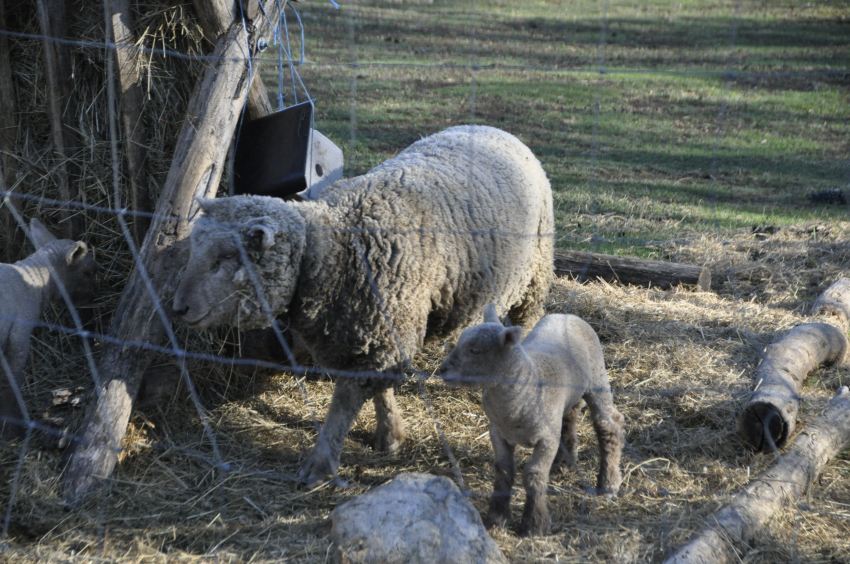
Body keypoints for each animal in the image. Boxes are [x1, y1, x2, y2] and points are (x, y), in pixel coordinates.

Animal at [0, 218, 97, 438]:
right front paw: (13, 430)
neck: (33, 278)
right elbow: (11, 383)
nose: (93, 296)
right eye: (88, 272)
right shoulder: (18, 335)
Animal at [173, 125, 556, 486]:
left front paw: (319, 464)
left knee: (527, 320)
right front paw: (390, 435)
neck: (335, 249)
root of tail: (494, 130)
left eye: (226, 257)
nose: (178, 308)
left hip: (535, 273)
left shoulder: (384, 328)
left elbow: (344, 405)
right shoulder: (372, 334)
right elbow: (380, 387)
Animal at [438, 302, 624, 536]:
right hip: (567, 396)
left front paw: (534, 525)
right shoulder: (498, 432)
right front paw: (497, 519)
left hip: (597, 377)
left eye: (475, 350)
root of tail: (567, 315)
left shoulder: (546, 439)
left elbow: (534, 475)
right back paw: (564, 463)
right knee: (570, 416)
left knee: (608, 424)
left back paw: (608, 484)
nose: (442, 369)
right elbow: (503, 470)